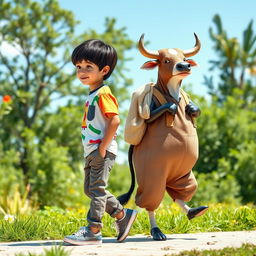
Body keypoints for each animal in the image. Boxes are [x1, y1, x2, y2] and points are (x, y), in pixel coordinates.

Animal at [118, 34, 208, 240]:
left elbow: (194, 109)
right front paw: (172, 108)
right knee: (150, 198)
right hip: (151, 173)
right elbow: (149, 117)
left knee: (181, 191)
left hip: (183, 172)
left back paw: (194, 211)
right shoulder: (149, 106)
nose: (184, 66)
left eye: (184, 57)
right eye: (166, 60)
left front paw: (191, 108)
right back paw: (156, 231)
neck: (173, 91)